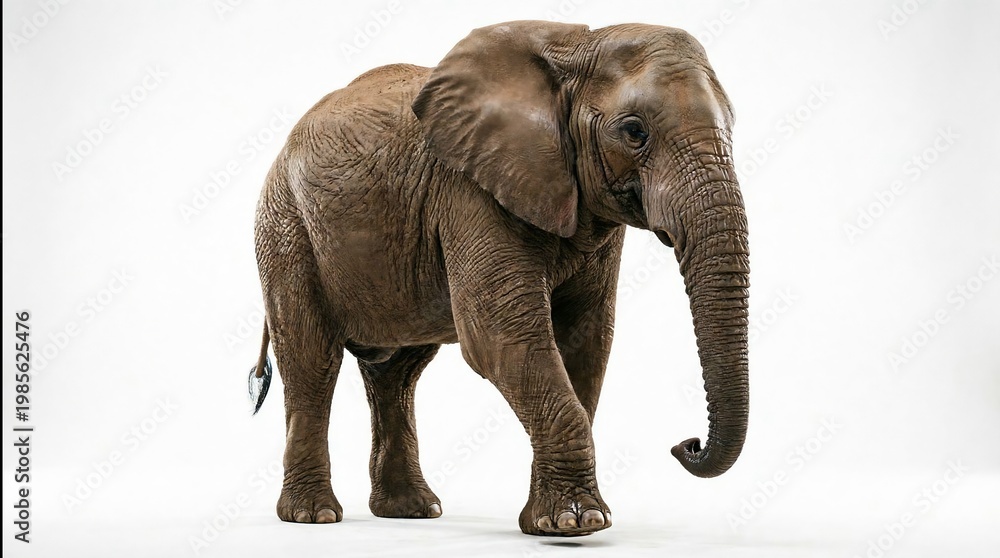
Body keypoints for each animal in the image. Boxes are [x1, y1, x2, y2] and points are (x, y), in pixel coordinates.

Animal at [247, 20, 749, 536]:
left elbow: (585, 340)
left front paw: (552, 522)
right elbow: (502, 338)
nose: (685, 444)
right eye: (634, 132)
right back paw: (314, 516)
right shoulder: (467, 191)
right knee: (311, 358)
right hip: (286, 226)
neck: (577, 43)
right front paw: (578, 522)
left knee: (396, 373)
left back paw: (412, 510)